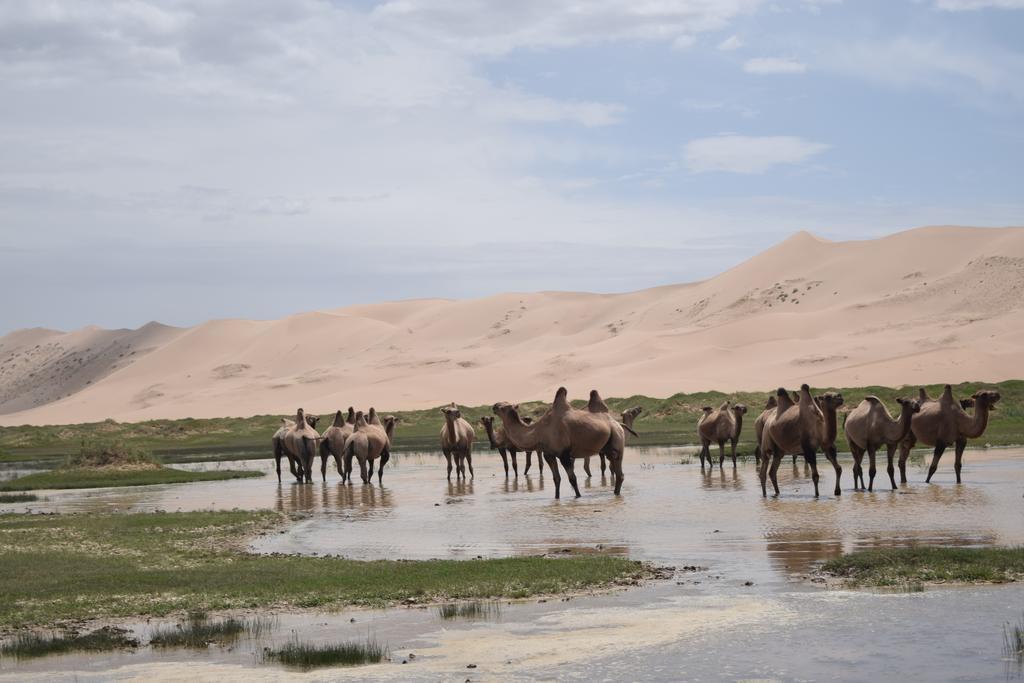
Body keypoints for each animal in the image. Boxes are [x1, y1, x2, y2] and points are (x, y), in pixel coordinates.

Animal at [489, 389, 622, 501]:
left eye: (504, 407)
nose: (494, 406)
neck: (539, 431)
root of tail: (616, 422)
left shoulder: (564, 455)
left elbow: (572, 478)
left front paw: (578, 496)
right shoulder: (549, 454)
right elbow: (556, 479)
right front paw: (556, 498)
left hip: (617, 436)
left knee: (619, 469)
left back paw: (617, 494)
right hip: (607, 448)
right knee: (615, 466)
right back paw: (615, 492)